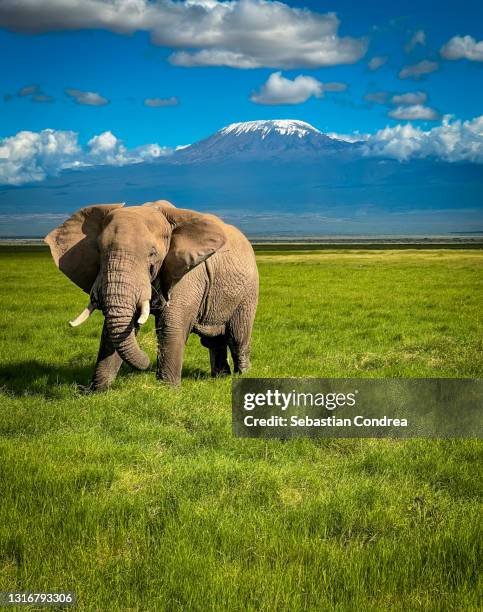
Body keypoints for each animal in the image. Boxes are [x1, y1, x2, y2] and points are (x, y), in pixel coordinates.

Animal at [43, 201, 260, 392]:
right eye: (99, 251)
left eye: (152, 254)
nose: (147, 362)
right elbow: (114, 330)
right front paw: (96, 392)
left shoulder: (187, 273)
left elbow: (170, 325)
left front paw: (168, 392)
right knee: (213, 340)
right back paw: (220, 377)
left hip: (249, 290)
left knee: (237, 336)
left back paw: (242, 376)